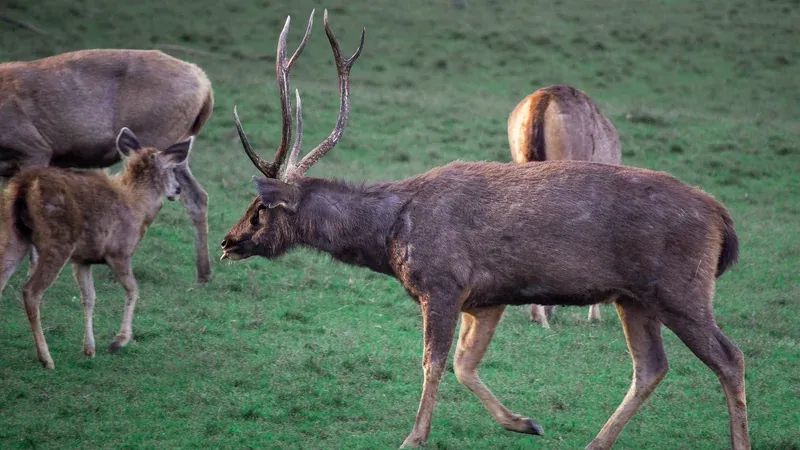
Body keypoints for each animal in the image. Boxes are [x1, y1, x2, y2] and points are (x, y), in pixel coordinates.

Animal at [0, 128, 192, 369]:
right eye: (172, 169)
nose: (178, 189)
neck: (138, 208)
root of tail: (25, 185)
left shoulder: (83, 259)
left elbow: (89, 297)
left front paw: (89, 349)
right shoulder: (119, 251)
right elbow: (133, 289)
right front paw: (118, 341)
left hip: (14, 234)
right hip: (58, 241)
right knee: (31, 292)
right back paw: (46, 358)